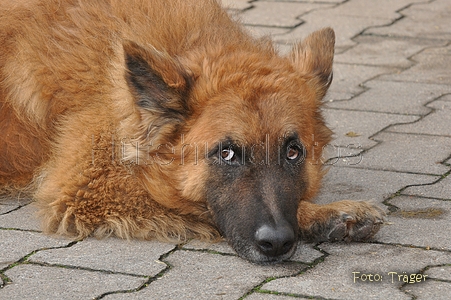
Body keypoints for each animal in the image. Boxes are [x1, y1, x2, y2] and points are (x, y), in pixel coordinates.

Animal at [0, 0, 384, 262]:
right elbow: (192, 204)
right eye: (226, 154)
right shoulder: (84, 188)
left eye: (293, 152)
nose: (276, 243)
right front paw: (321, 215)